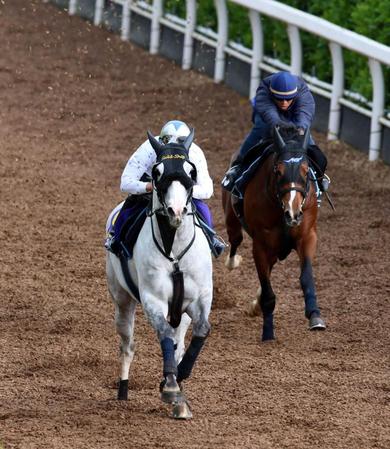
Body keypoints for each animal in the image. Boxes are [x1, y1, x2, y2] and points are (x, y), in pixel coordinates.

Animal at [105, 129, 212, 416]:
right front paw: (172, 388)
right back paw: (123, 388)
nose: (176, 211)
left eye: (191, 171)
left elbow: (201, 330)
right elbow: (163, 334)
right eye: (157, 171)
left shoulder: (200, 299)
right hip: (122, 300)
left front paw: (178, 378)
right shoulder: (153, 300)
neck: (174, 252)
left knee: (178, 341)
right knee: (127, 344)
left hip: (180, 314)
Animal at [222, 126, 326, 340]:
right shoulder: (261, 245)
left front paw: (315, 315)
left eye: (306, 171)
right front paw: (268, 331)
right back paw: (232, 262)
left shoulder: (307, 236)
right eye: (278, 171)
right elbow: (269, 292)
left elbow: (306, 276)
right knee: (235, 240)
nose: (293, 212)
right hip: (231, 218)